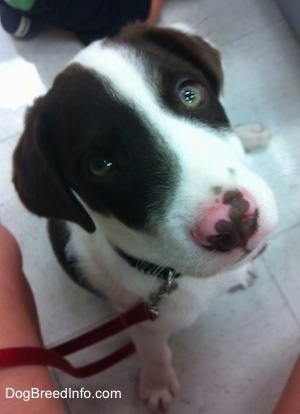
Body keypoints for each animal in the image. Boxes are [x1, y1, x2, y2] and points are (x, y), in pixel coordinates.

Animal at [12, 23, 278, 414]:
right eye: (100, 165)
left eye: (190, 95)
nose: (234, 224)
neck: (173, 275)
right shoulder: (143, 323)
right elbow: (155, 352)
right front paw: (157, 383)